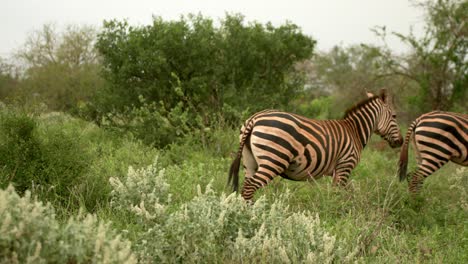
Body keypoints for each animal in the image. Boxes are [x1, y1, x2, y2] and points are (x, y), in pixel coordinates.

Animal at [229, 88, 404, 200]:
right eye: (395, 116)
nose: (400, 142)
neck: (354, 131)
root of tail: (254, 118)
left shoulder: (337, 171)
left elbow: (340, 194)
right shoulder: (344, 166)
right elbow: (337, 195)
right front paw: (335, 216)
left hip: (249, 160)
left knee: (246, 186)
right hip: (273, 160)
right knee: (250, 187)